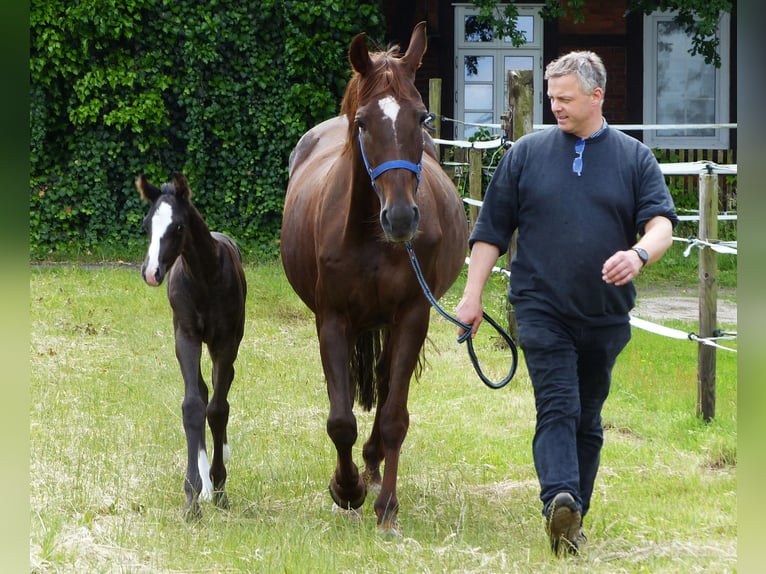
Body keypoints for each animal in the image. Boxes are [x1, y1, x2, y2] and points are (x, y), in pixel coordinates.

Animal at [280, 22, 468, 536]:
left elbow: (394, 417)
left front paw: (385, 505)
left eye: (422, 118)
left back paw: (374, 462)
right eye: (363, 122)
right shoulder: (332, 319)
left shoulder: (412, 316)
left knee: (385, 387)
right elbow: (340, 418)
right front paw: (346, 489)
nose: (401, 218)